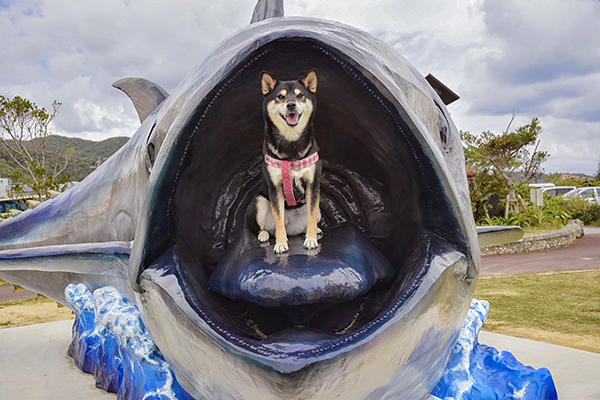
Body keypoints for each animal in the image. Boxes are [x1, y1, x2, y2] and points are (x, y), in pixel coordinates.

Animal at [248, 70, 324, 255]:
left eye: (300, 95)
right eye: (280, 97)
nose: (291, 105)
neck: (291, 146)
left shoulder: (313, 184)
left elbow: (311, 216)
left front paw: (311, 240)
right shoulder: (275, 187)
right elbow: (278, 219)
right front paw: (281, 243)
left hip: (318, 209)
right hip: (259, 202)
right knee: (264, 227)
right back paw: (264, 235)